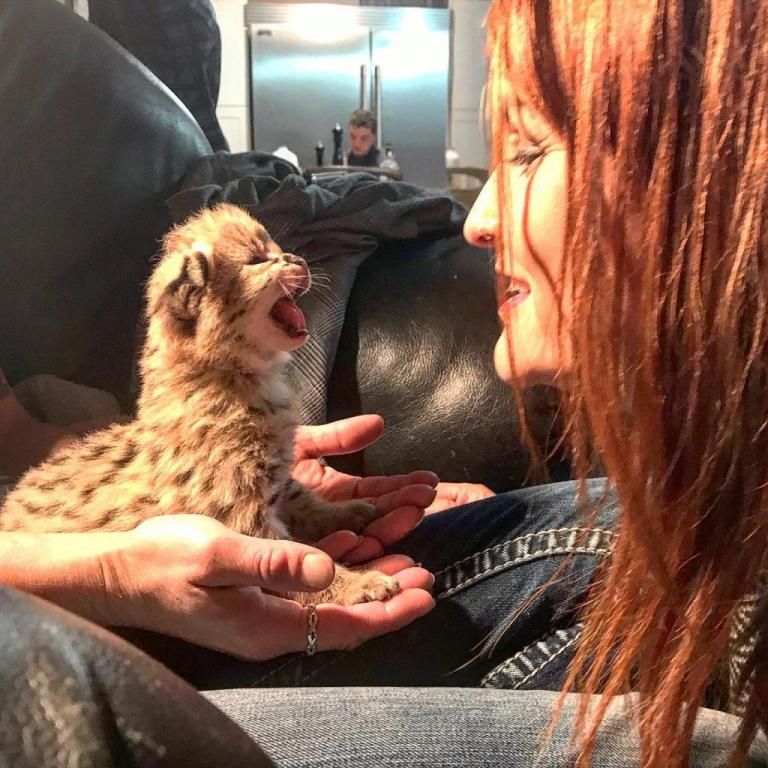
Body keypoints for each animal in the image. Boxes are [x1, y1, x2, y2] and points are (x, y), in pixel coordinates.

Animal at [1, 203, 400, 607]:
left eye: (277, 250)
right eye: (258, 260)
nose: (297, 259)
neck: (230, 373)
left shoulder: (273, 479)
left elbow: (300, 495)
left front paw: (346, 511)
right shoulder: (242, 516)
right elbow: (300, 563)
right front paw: (356, 584)